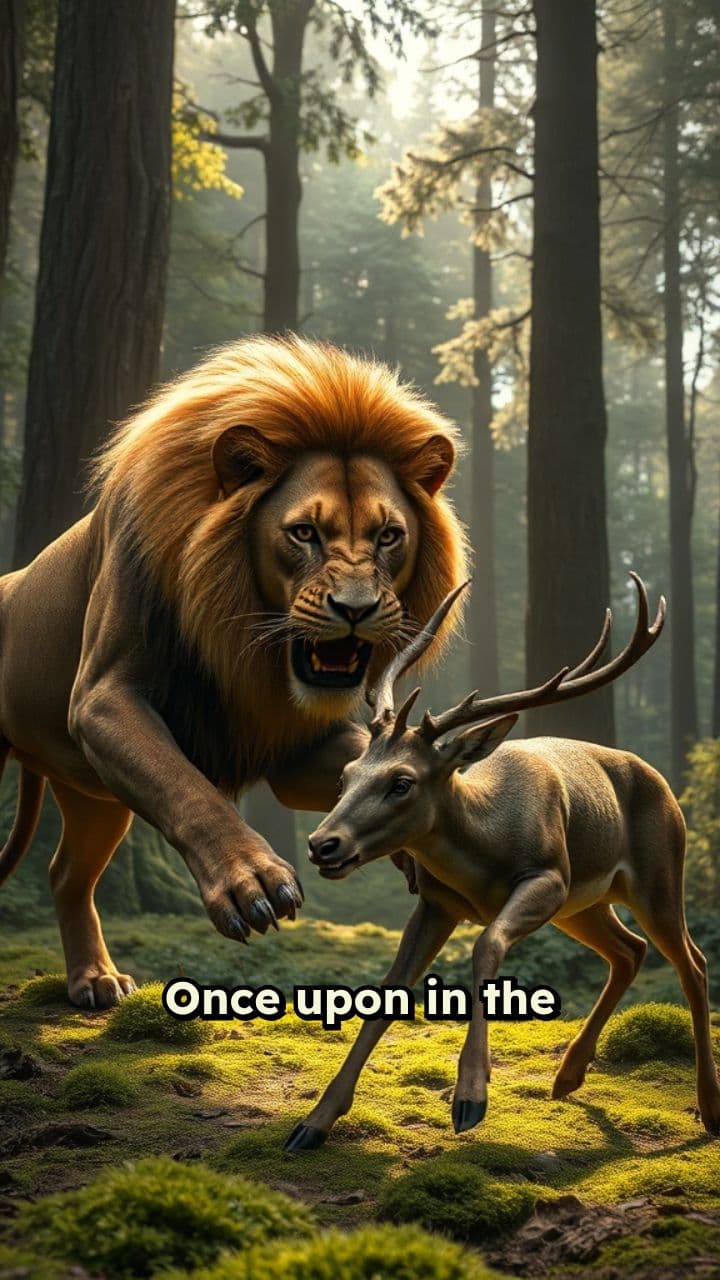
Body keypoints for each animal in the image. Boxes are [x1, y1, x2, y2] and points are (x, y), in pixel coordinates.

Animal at [0, 336, 467, 1008]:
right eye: (304, 533)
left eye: (387, 536)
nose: (355, 609)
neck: (248, 649)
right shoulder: (105, 699)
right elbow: (185, 787)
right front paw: (253, 880)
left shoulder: (299, 747)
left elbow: (364, 760)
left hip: (92, 792)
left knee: (66, 874)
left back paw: (96, 979)